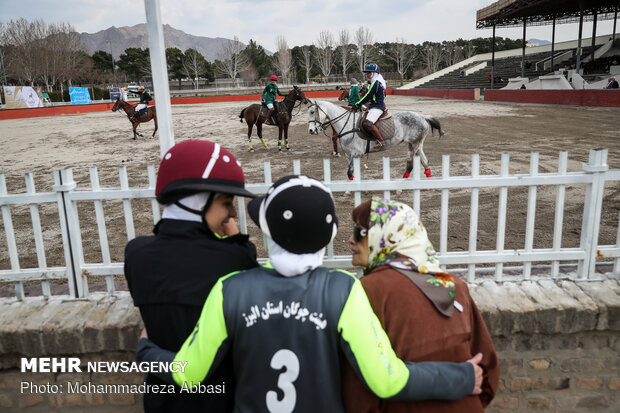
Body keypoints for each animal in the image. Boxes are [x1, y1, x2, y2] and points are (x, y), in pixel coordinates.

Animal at [308, 100, 444, 179]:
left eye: (312, 112)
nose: (311, 130)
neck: (347, 125)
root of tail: (422, 116)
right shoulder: (348, 155)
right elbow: (352, 174)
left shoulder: (356, 154)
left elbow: (350, 172)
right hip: (415, 144)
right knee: (425, 161)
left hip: (413, 145)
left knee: (410, 165)